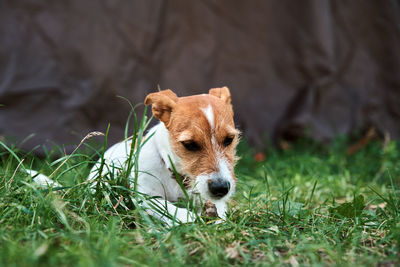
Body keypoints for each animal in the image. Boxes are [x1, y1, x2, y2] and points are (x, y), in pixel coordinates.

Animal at [32, 87, 238, 226]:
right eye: (190, 145)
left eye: (229, 140)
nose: (221, 188)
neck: (174, 175)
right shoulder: (144, 197)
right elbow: (168, 208)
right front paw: (190, 218)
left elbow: (219, 209)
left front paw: (215, 217)